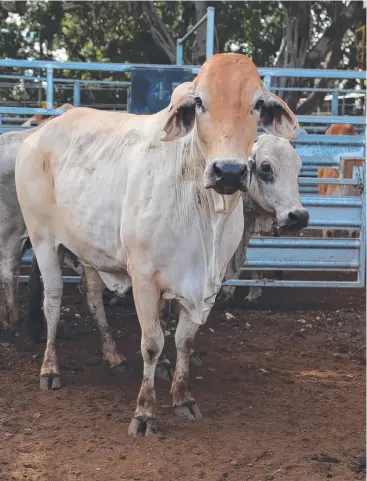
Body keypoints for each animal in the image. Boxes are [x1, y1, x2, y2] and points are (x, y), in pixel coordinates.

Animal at [15, 53, 300, 436]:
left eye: (257, 104)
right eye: (199, 102)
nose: (228, 171)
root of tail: (39, 132)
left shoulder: (205, 287)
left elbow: (184, 340)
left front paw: (182, 398)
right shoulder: (145, 280)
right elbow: (152, 344)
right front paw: (145, 413)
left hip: (89, 251)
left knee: (92, 298)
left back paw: (114, 358)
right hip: (43, 239)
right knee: (53, 301)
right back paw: (50, 368)